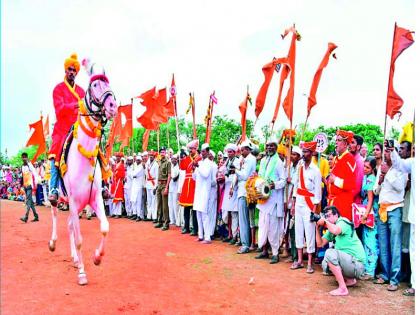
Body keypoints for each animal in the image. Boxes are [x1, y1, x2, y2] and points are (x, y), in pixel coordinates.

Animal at [49, 61, 118, 286]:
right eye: (95, 85)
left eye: (108, 83)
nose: (112, 106)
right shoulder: (71, 201)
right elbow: (79, 239)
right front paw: (81, 273)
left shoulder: (95, 198)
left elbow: (105, 227)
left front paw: (96, 257)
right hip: (58, 198)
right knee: (55, 215)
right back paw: (53, 243)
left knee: (70, 225)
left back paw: (74, 258)